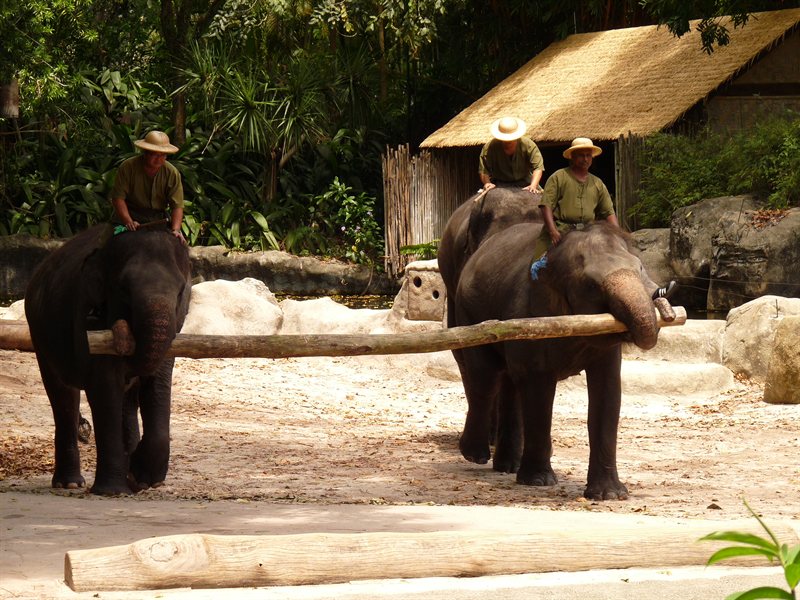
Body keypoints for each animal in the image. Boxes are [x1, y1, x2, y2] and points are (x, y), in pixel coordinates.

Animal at [24, 223, 192, 495]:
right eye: (123, 288)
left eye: (179, 292)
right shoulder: (90, 320)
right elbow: (105, 387)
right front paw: (113, 490)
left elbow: (157, 385)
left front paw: (142, 479)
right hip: (40, 336)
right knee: (64, 397)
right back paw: (70, 483)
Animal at [442, 219, 674, 500]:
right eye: (591, 285)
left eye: (640, 268)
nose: (664, 305)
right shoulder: (531, 315)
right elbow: (538, 388)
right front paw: (538, 481)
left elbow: (608, 391)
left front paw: (610, 495)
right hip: (469, 311)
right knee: (485, 377)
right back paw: (475, 455)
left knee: (509, 381)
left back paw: (508, 467)